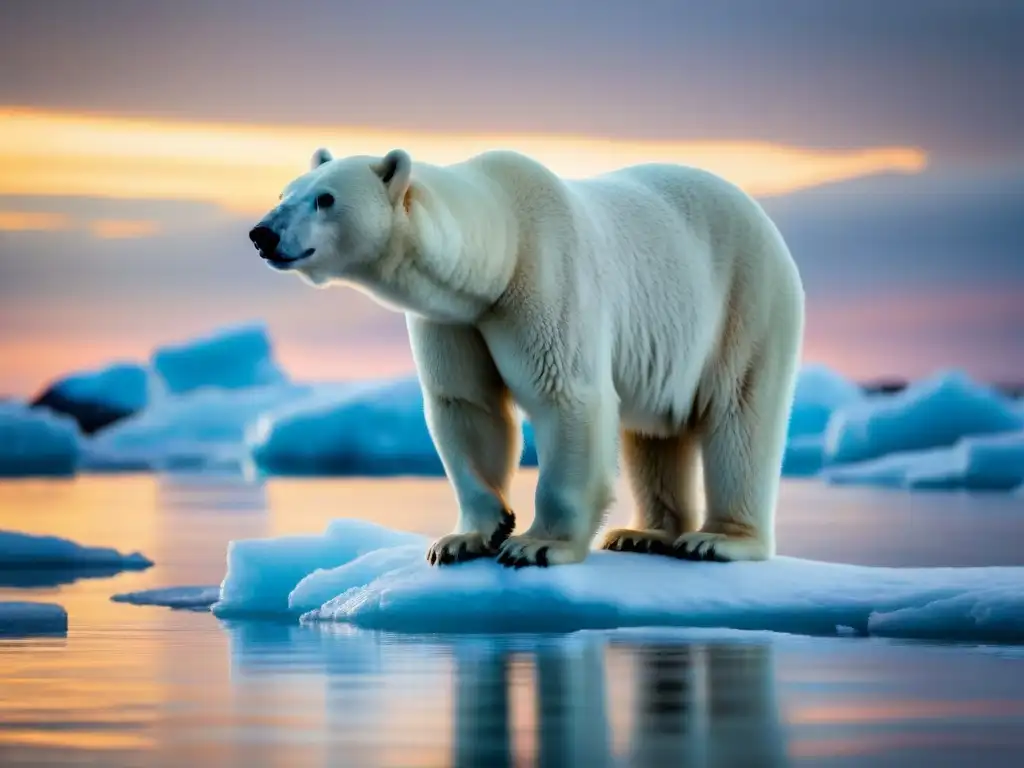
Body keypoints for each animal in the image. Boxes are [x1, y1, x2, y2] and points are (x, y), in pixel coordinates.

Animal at [245, 147, 798, 573]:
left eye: (325, 198)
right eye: (283, 194)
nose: (261, 234)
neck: (502, 248)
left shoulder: (547, 279)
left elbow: (564, 396)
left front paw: (536, 545)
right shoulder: (455, 319)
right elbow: (466, 405)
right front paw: (465, 538)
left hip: (743, 300)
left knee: (740, 413)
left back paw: (718, 539)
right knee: (655, 432)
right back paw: (644, 534)